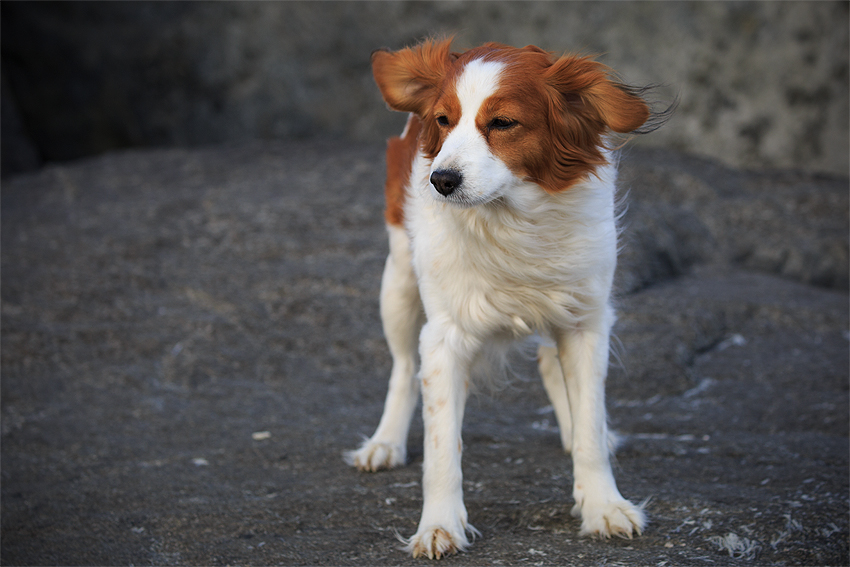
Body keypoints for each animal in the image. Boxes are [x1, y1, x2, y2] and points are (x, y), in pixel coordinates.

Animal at [344, 38, 664, 560]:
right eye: (443, 120)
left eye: (502, 123)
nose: (441, 180)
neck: (511, 220)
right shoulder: (444, 338)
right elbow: (441, 446)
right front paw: (439, 525)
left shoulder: (585, 322)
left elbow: (590, 426)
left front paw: (602, 504)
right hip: (398, 281)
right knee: (403, 368)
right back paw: (385, 442)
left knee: (553, 367)